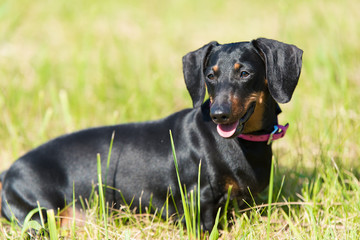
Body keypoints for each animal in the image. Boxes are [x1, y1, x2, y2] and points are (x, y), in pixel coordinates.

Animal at [0, 37, 302, 231]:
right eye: (210, 75)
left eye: (245, 73)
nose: (218, 115)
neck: (242, 143)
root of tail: (8, 173)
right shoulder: (198, 200)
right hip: (39, 214)